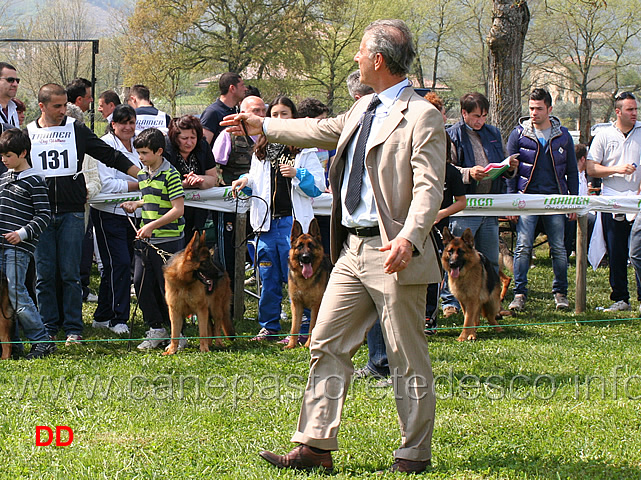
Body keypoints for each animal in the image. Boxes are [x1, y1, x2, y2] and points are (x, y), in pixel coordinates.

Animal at [288, 218, 332, 348]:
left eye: (311, 245)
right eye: (299, 246)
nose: (305, 257)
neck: (304, 280)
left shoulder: (316, 306)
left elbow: (312, 327)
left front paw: (308, 345)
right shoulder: (296, 305)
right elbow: (294, 328)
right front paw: (291, 345)